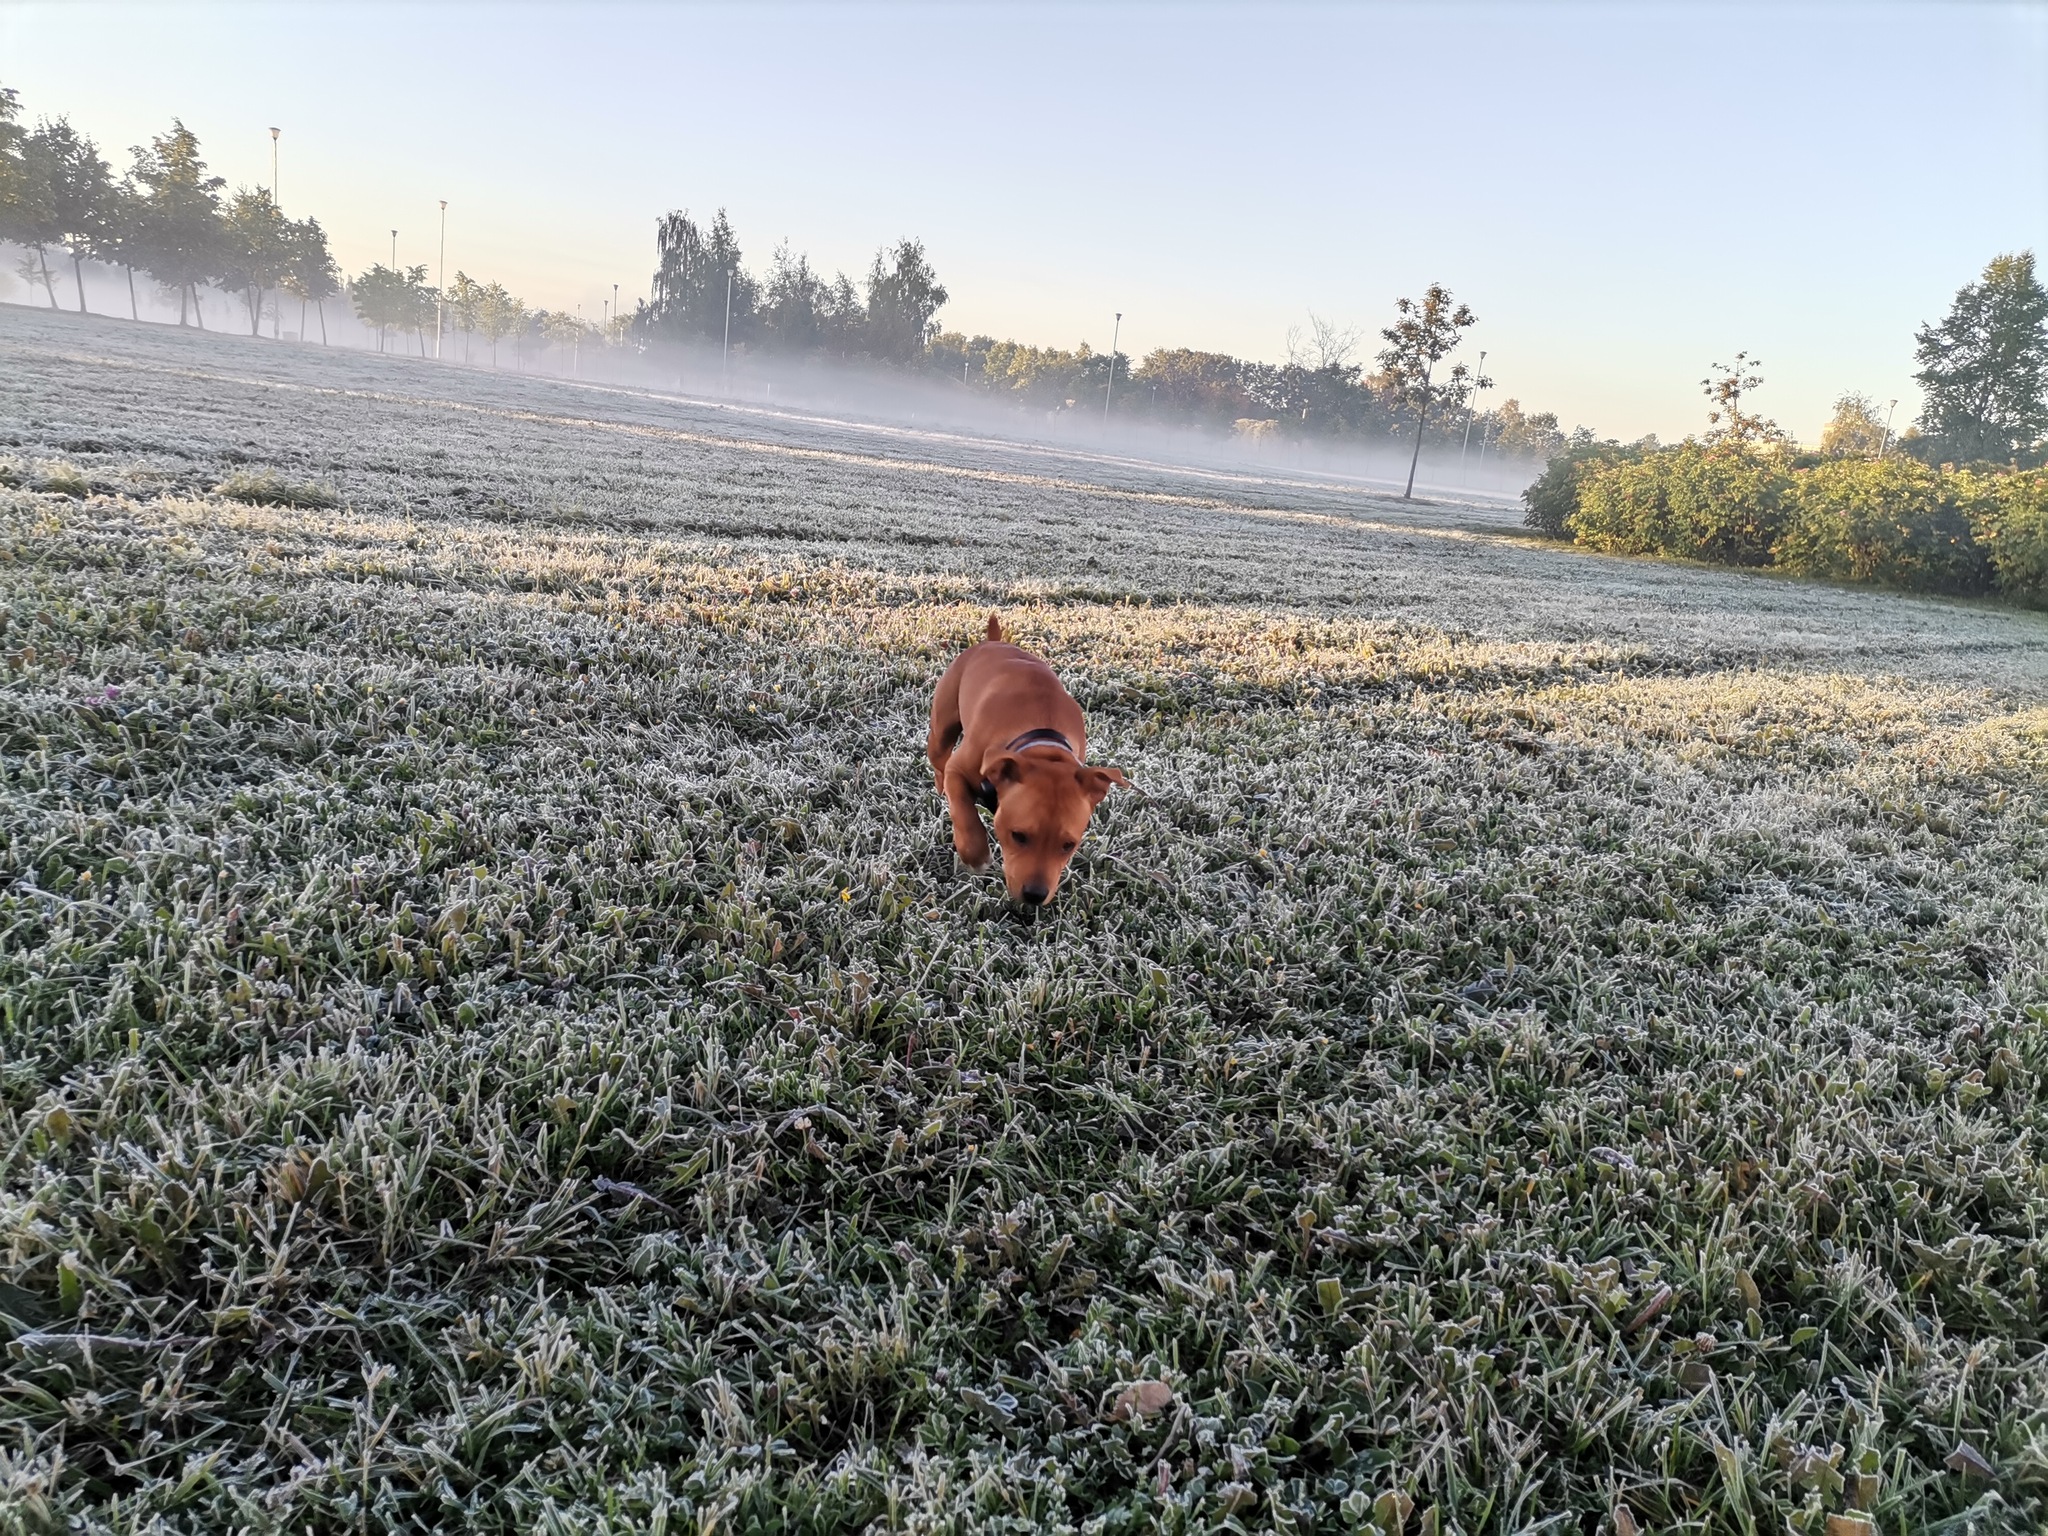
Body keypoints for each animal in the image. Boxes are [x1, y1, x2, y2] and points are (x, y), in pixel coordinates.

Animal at [933, 614, 1130, 901]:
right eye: (1018, 835)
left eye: (1068, 845)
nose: (1035, 895)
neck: (1042, 745)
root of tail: (993, 642)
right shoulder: (958, 769)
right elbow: (963, 808)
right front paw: (975, 853)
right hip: (942, 729)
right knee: (939, 762)